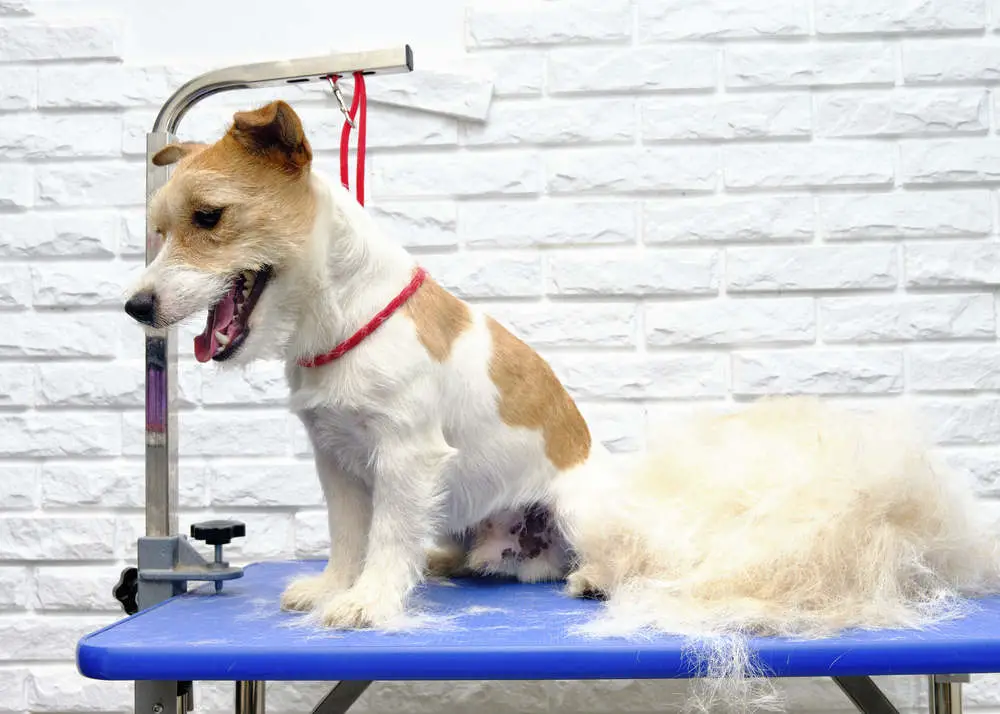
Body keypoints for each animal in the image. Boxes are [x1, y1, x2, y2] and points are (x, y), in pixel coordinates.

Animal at [125, 96, 1000, 640]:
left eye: (209, 218)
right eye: (159, 230)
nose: (136, 306)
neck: (338, 320)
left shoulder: (405, 456)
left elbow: (387, 535)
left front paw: (369, 602)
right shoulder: (338, 461)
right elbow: (352, 535)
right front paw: (340, 585)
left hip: (576, 509)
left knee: (614, 560)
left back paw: (591, 580)